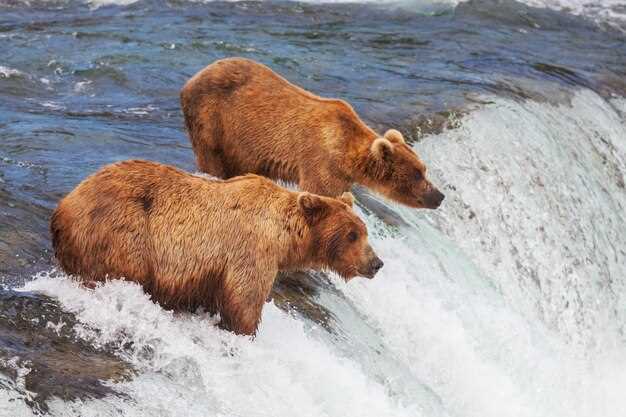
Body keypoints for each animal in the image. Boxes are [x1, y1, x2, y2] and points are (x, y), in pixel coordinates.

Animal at [50, 159, 380, 334]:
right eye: (352, 234)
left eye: (364, 232)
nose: (376, 263)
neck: (283, 237)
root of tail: (63, 207)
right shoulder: (249, 252)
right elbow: (244, 300)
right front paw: (246, 331)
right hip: (122, 234)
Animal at [180, 57, 444, 210]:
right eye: (417, 173)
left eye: (423, 169)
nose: (439, 195)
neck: (348, 155)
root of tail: (193, 77)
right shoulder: (322, 163)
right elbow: (320, 192)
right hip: (213, 119)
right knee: (212, 158)